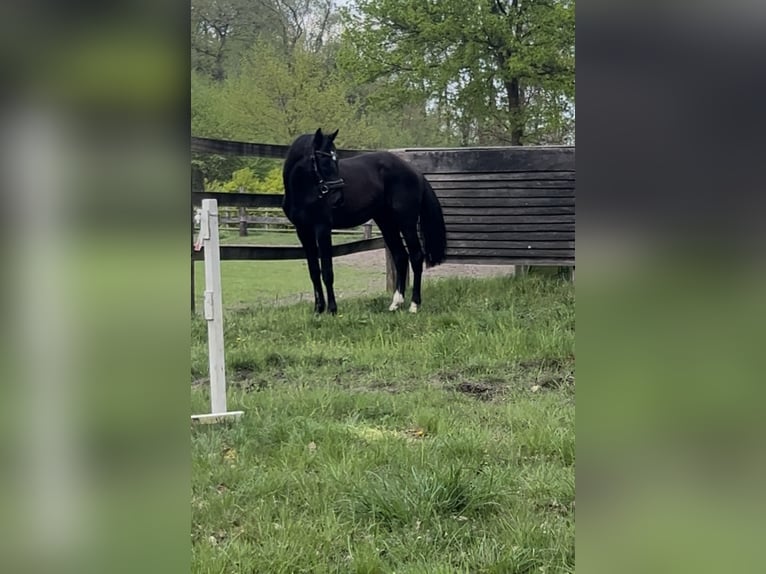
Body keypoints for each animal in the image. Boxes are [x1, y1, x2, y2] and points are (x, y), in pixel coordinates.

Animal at [284, 129, 448, 316]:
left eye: (336, 159)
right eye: (323, 160)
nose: (338, 199)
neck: (304, 192)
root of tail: (414, 171)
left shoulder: (322, 229)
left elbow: (327, 271)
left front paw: (332, 309)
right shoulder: (303, 232)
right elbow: (314, 272)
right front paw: (318, 309)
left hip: (406, 223)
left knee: (416, 256)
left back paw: (414, 305)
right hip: (386, 223)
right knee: (400, 257)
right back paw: (395, 303)